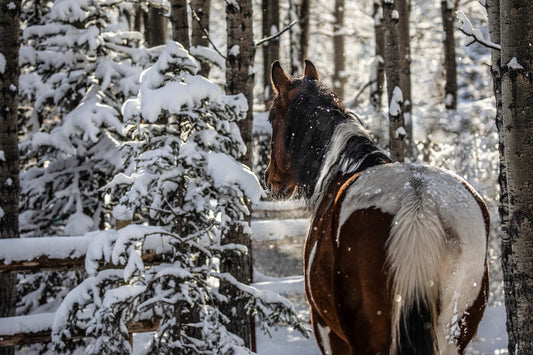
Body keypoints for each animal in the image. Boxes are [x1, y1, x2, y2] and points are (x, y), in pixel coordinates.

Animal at [264, 59, 488, 354]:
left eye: (271, 117)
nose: (269, 179)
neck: (344, 168)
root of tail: (418, 202)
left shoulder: (325, 329)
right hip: (453, 335)